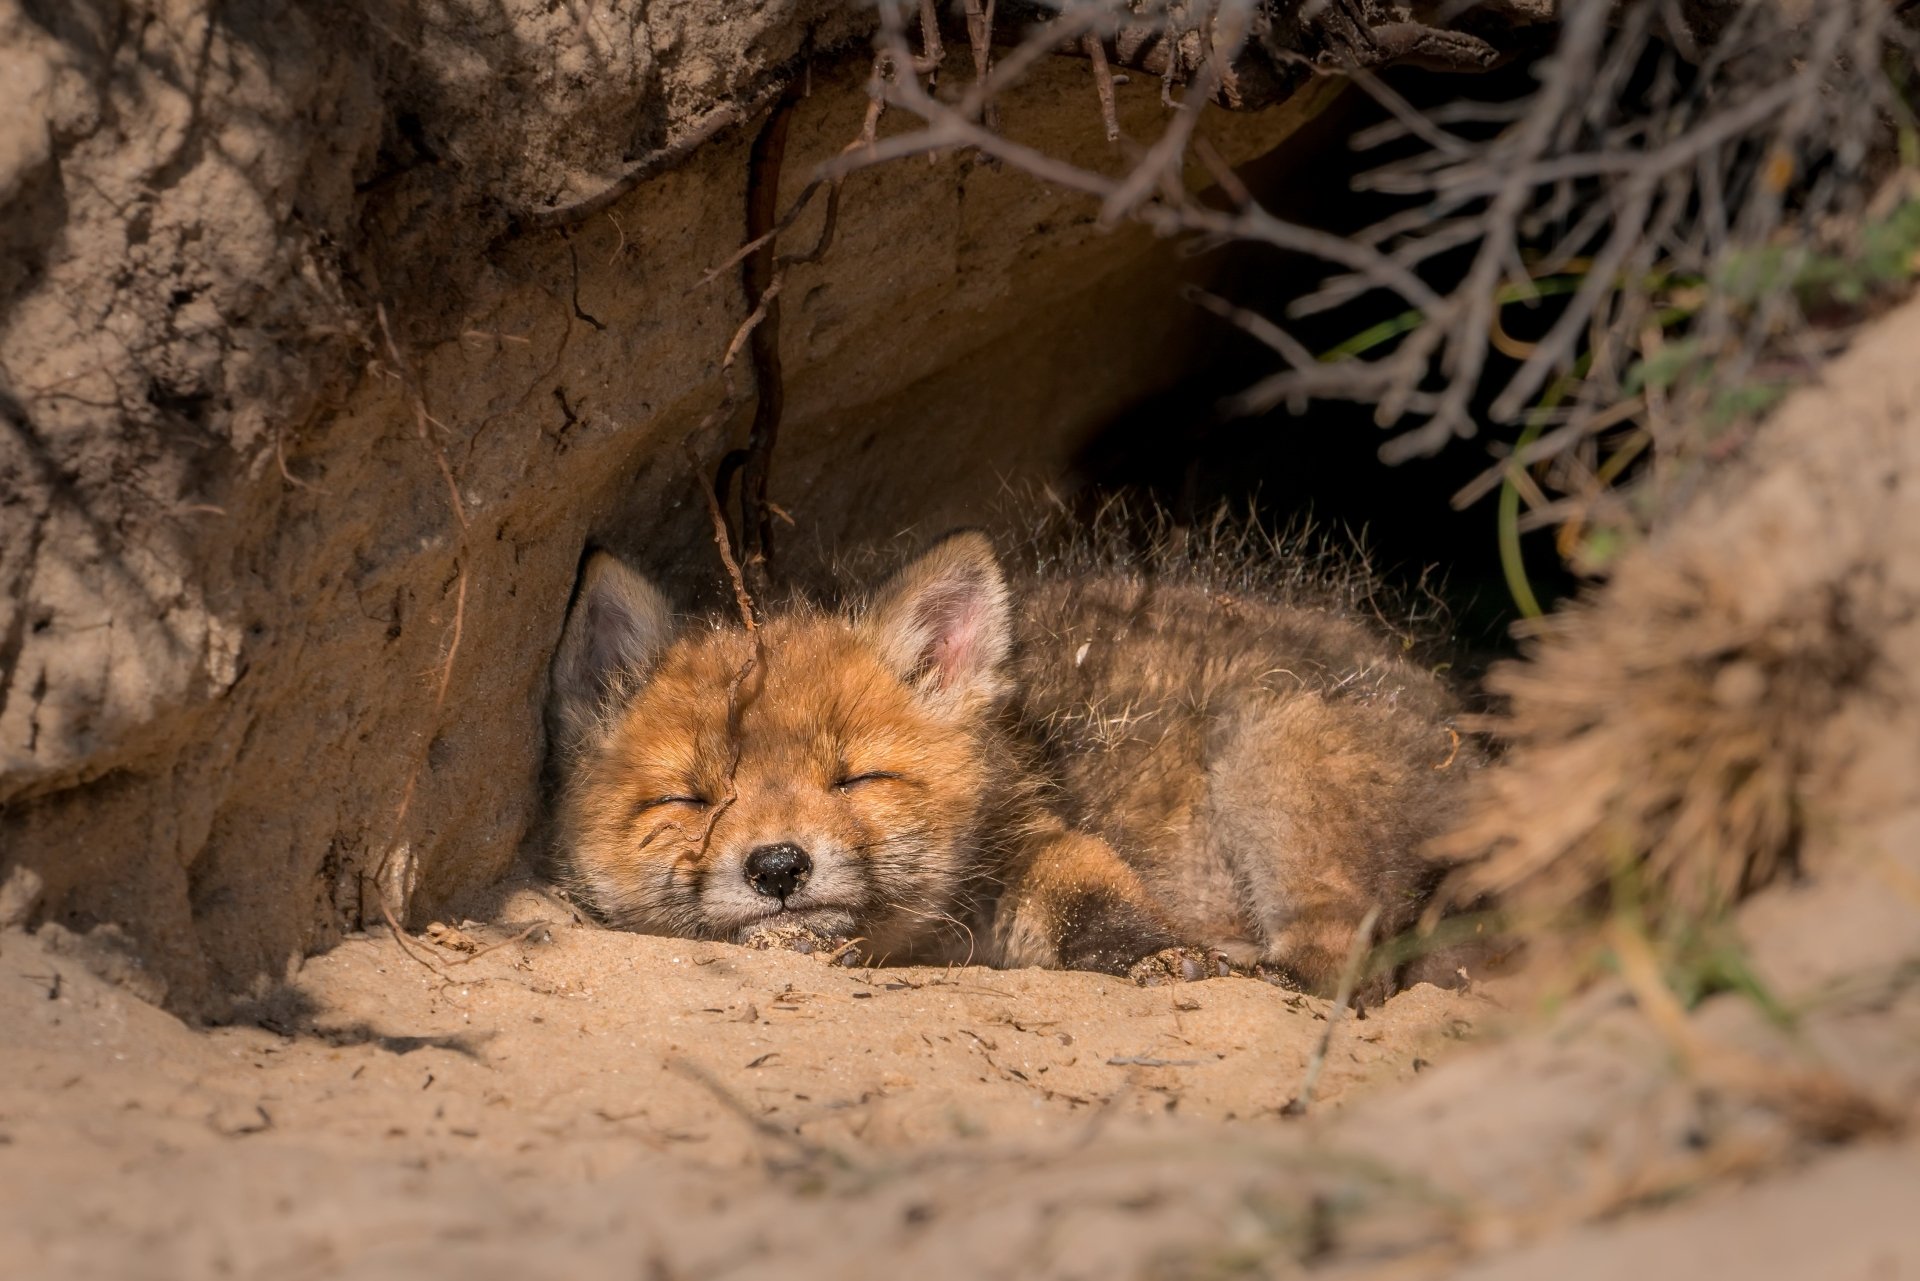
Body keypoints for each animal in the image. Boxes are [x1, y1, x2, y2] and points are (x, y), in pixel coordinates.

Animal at [546, 523, 1476, 991]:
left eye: (858, 778)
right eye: (693, 798)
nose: (778, 866)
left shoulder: (1029, 838)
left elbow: (1095, 899)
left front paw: (1154, 954)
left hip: (1270, 756)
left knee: (1341, 964)